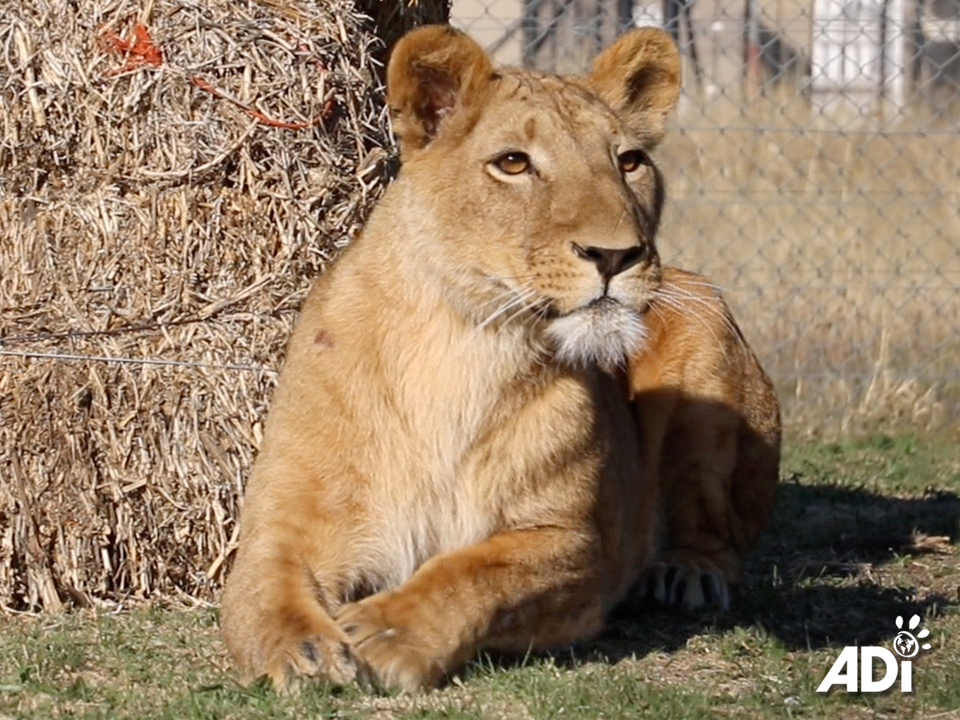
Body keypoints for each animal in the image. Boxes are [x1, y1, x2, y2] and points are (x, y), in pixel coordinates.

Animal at [221, 26, 776, 692]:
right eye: (513, 163)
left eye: (629, 161)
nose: (617, 255)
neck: (462, 344)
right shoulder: (283, 528)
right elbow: (267, 594)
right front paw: (305, 650)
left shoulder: (573, 542)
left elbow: (477, 574)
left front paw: (385, 632)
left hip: (706, 332)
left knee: (722, 535)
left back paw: (683, 572)